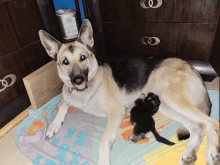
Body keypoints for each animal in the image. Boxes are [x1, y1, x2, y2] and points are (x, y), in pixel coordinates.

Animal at [38, 18, 219, 164]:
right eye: (65, 62)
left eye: (82, 58)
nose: (78, 80)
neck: (87, 88)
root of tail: (192, 68)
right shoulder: (67, 94)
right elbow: (63, 102)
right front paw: (54, 124)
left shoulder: (116, 112)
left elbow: (103, 140)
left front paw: (103, 161)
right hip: (166, 105)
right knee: (198, 126)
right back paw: (189, 154)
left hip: (172, 98)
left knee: (212, 123)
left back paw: (211, 153)